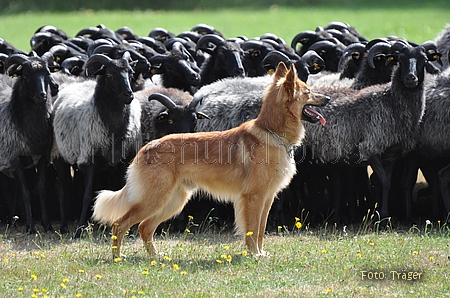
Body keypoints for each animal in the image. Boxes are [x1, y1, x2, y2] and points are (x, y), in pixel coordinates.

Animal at [91, 61, 326, 258]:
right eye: (308, 92)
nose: (328, 99)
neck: (272, 133)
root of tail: (146, 148)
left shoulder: (266, 198)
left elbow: (260, 230)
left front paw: (260, 254)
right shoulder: (253, 198)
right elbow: (251, 230)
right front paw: (254, 255)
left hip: (172, 201)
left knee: (144, 227)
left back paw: (155, 257)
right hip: (154, 200)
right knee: (119, 225)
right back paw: (118, 257)